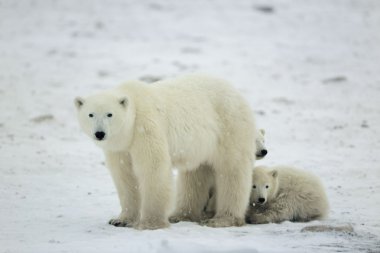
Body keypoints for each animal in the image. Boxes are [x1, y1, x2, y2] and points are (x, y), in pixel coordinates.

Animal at [73, 74, 258, 229]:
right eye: (90, 114)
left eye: (109, 114)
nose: (100, 133)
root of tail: (236, 92)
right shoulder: (120, 148)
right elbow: (124, 176)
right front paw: (120, 220)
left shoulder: (145, 127)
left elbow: (153, 167)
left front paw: (150, 223)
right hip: (201, 145)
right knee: (195, 175)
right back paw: (181, 215)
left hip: (230, 126)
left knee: (232, 170)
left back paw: (222, 219)